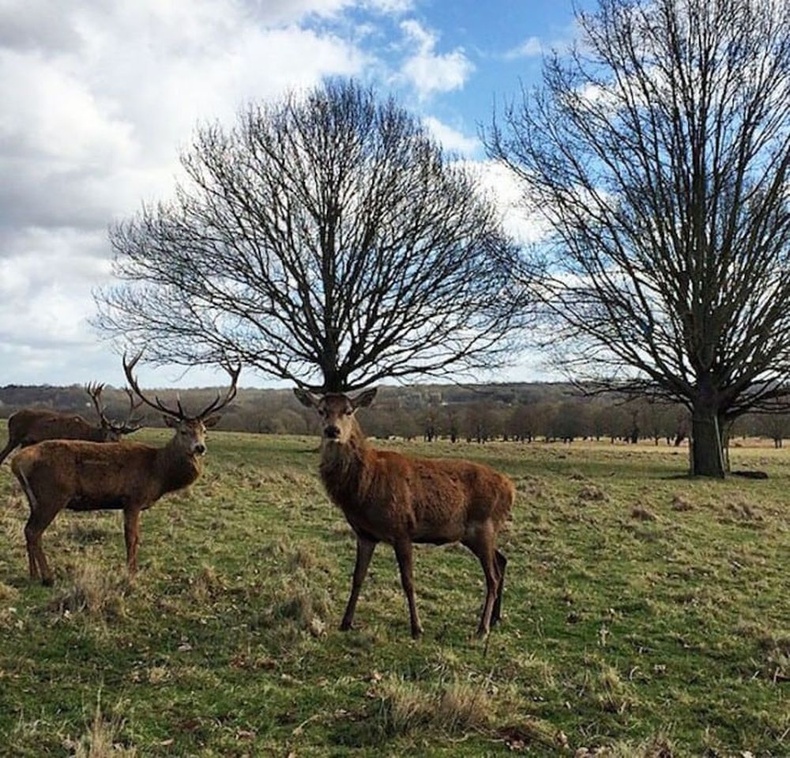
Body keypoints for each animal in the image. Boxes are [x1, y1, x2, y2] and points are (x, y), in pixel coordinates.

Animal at [0, 382, 144, 466]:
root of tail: (11, 416)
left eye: (120, 438)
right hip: (14, 437)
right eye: (111, 437)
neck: (87, 435)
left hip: (26, 442)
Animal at [294, 386, 516, 640]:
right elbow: (357, 576)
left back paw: (482, 628)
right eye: (321, 410)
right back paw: (496, 618)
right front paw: (346, 622)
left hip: (484, 526)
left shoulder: (402, 529)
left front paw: (417, 628)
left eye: (348, 410)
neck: (365, 487)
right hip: (476, 534)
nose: (332, 430)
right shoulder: (365, 534)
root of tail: (511, 489)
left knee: (492, 576)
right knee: (502, 560)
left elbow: (408, 580)